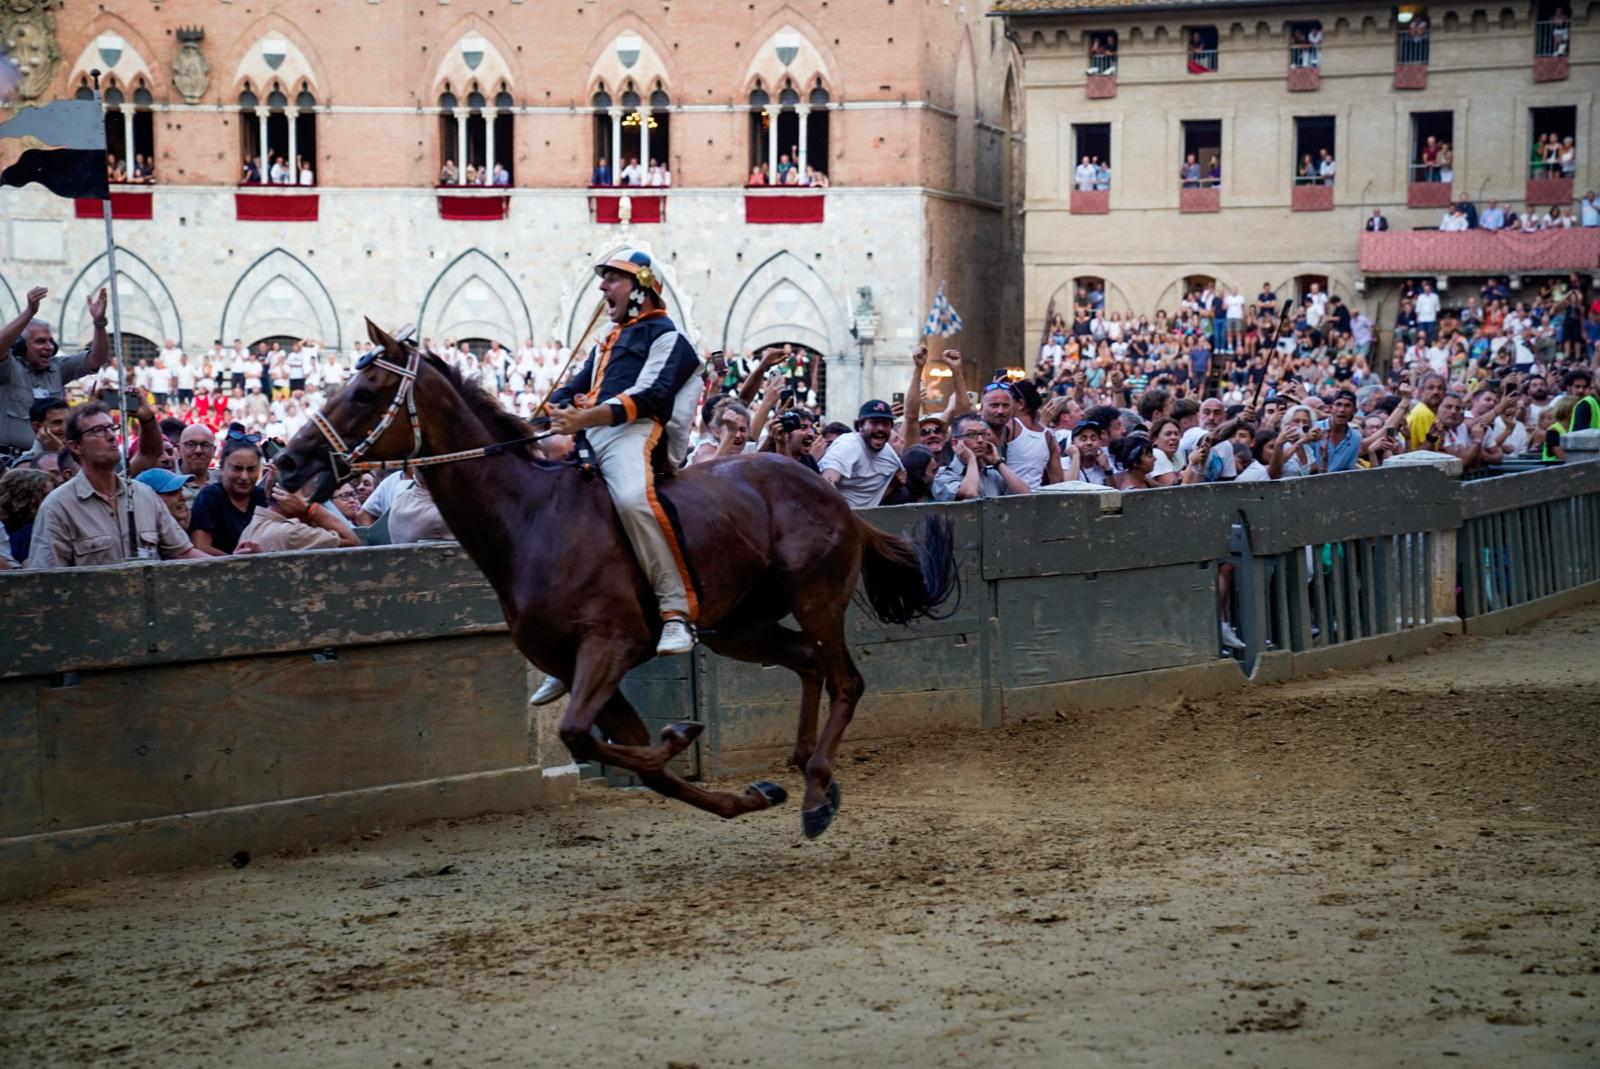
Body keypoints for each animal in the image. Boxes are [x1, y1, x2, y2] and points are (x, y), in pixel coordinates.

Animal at [273, 321, 947, 838]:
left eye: (366, 391)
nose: (288, 459)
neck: (530, 518)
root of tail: (831, 497)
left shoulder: (611, 646)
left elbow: (582, 736)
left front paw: (683, 735)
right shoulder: (578, 666)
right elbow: (628, 757)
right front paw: (743, 791)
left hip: (816, 598)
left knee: (846, 680)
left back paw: (815, 790)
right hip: (739, 626)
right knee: (808, 664)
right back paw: (806, 768)